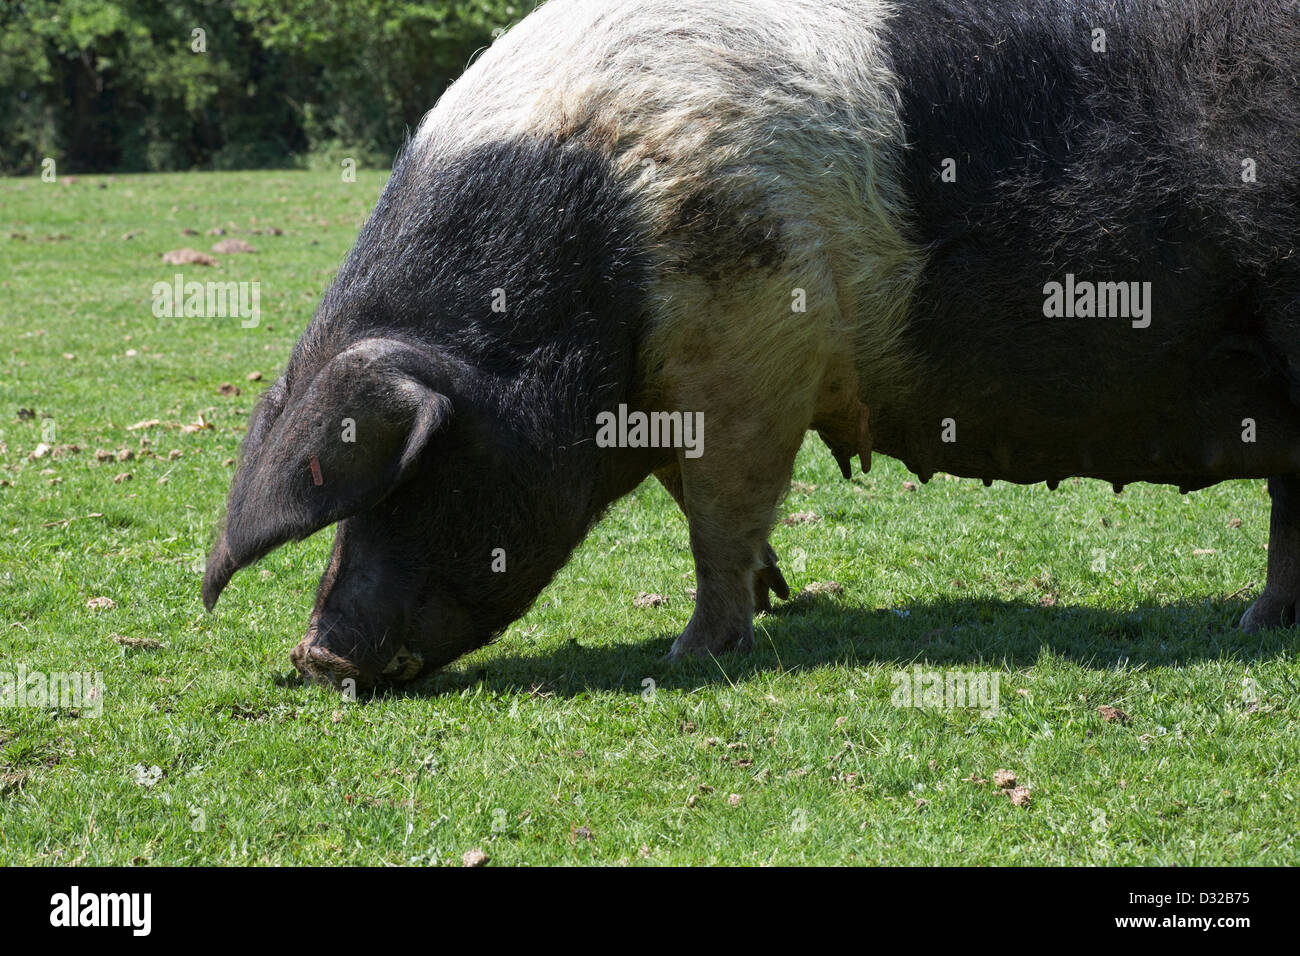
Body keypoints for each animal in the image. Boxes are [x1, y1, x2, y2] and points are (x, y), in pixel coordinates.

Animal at [200, 0, 1300, 686]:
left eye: (421, 469)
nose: (317, 657)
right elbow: (702, 503)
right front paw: (777, 599)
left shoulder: (749, 342)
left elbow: (718, 512)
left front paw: (695, 652)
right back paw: (1261, 621)